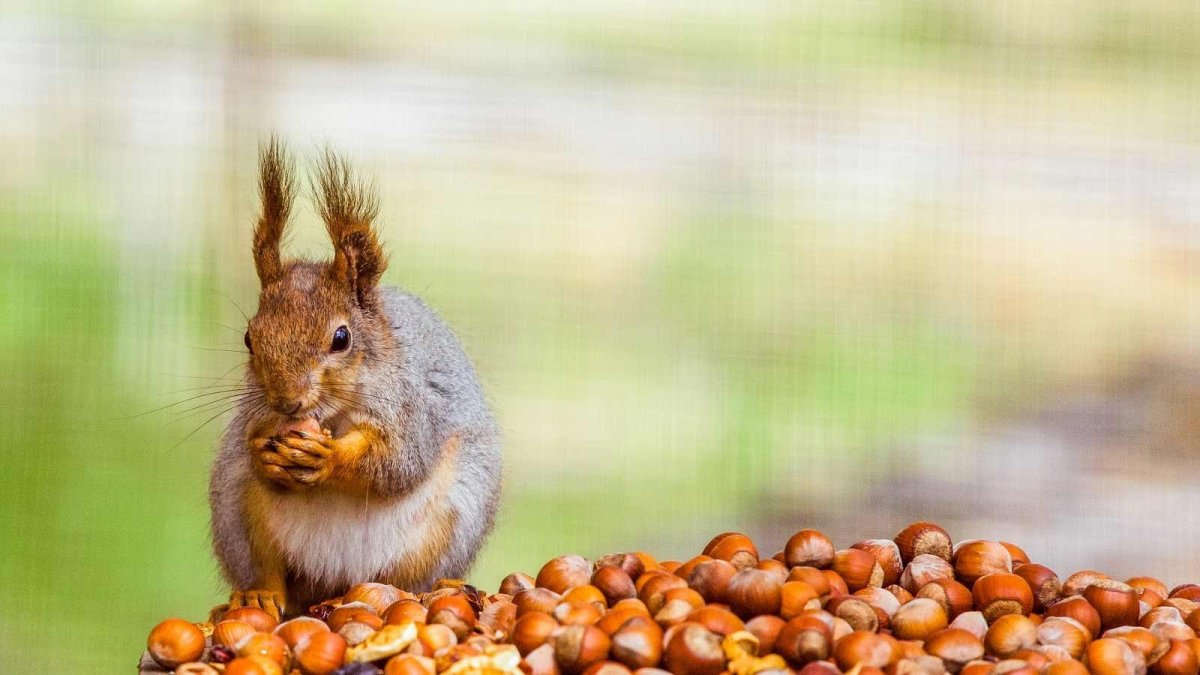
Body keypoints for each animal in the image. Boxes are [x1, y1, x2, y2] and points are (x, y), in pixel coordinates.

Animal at [208, 140, 502, 620]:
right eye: (250, 338)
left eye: (341, 338)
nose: (287, 401)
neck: (334, 415)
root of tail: (336, 584)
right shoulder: (253, 415)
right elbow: (256, 445)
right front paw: (265, 452)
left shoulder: (414, 408)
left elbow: (397, 463)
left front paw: (329, 458)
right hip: (239, 513)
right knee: (270, 572)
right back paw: (257, 596)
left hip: (451, 521)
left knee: (407, 577)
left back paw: (423, 593)